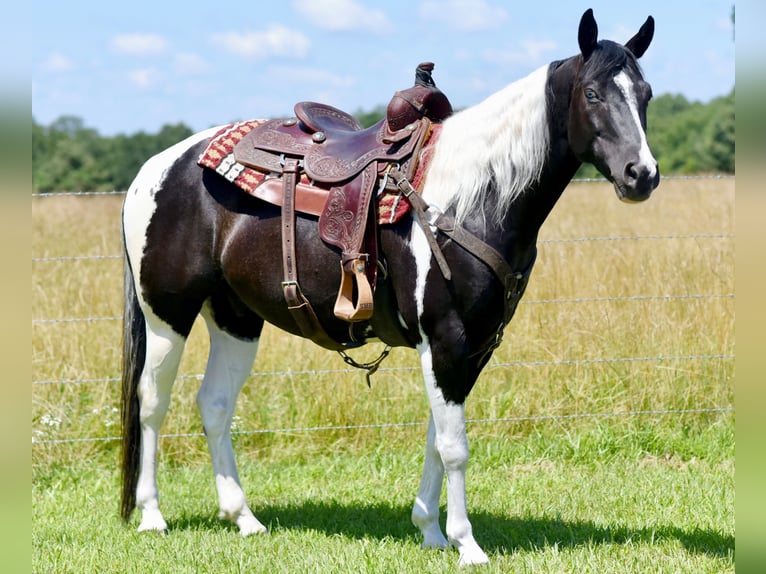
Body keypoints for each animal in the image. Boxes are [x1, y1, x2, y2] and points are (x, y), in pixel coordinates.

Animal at [119, 9, 658, 566]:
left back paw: (244, 518)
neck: (474, 199)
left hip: (235, 318)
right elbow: (455, 448)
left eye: (646, 94)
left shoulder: (471, 347)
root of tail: (154, 169)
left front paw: (431, 530)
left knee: (215, 403)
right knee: (152, 401)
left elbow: (437, 438)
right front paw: (467, 544)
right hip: (167, 315)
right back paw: (153, 516)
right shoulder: (445, 338)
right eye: (592, 93)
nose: (641, 174)